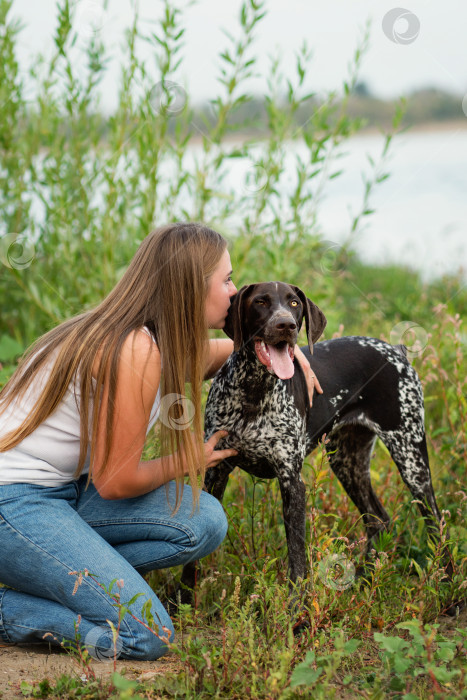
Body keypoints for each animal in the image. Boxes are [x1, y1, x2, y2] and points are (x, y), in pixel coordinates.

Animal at [180, 282, 458, 608]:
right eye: (261, 302)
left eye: (294, 303)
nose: (286, 325)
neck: (253, 389)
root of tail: (396, 351)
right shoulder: (215, 471)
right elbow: (194, 555)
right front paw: (183, 602)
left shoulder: (291, 482)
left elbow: (297, 555)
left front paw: (295, 609)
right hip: (347, 462)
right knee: (378, 521)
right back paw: (364, 582)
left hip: (411, 460)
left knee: (437, 526)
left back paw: (447, 587)